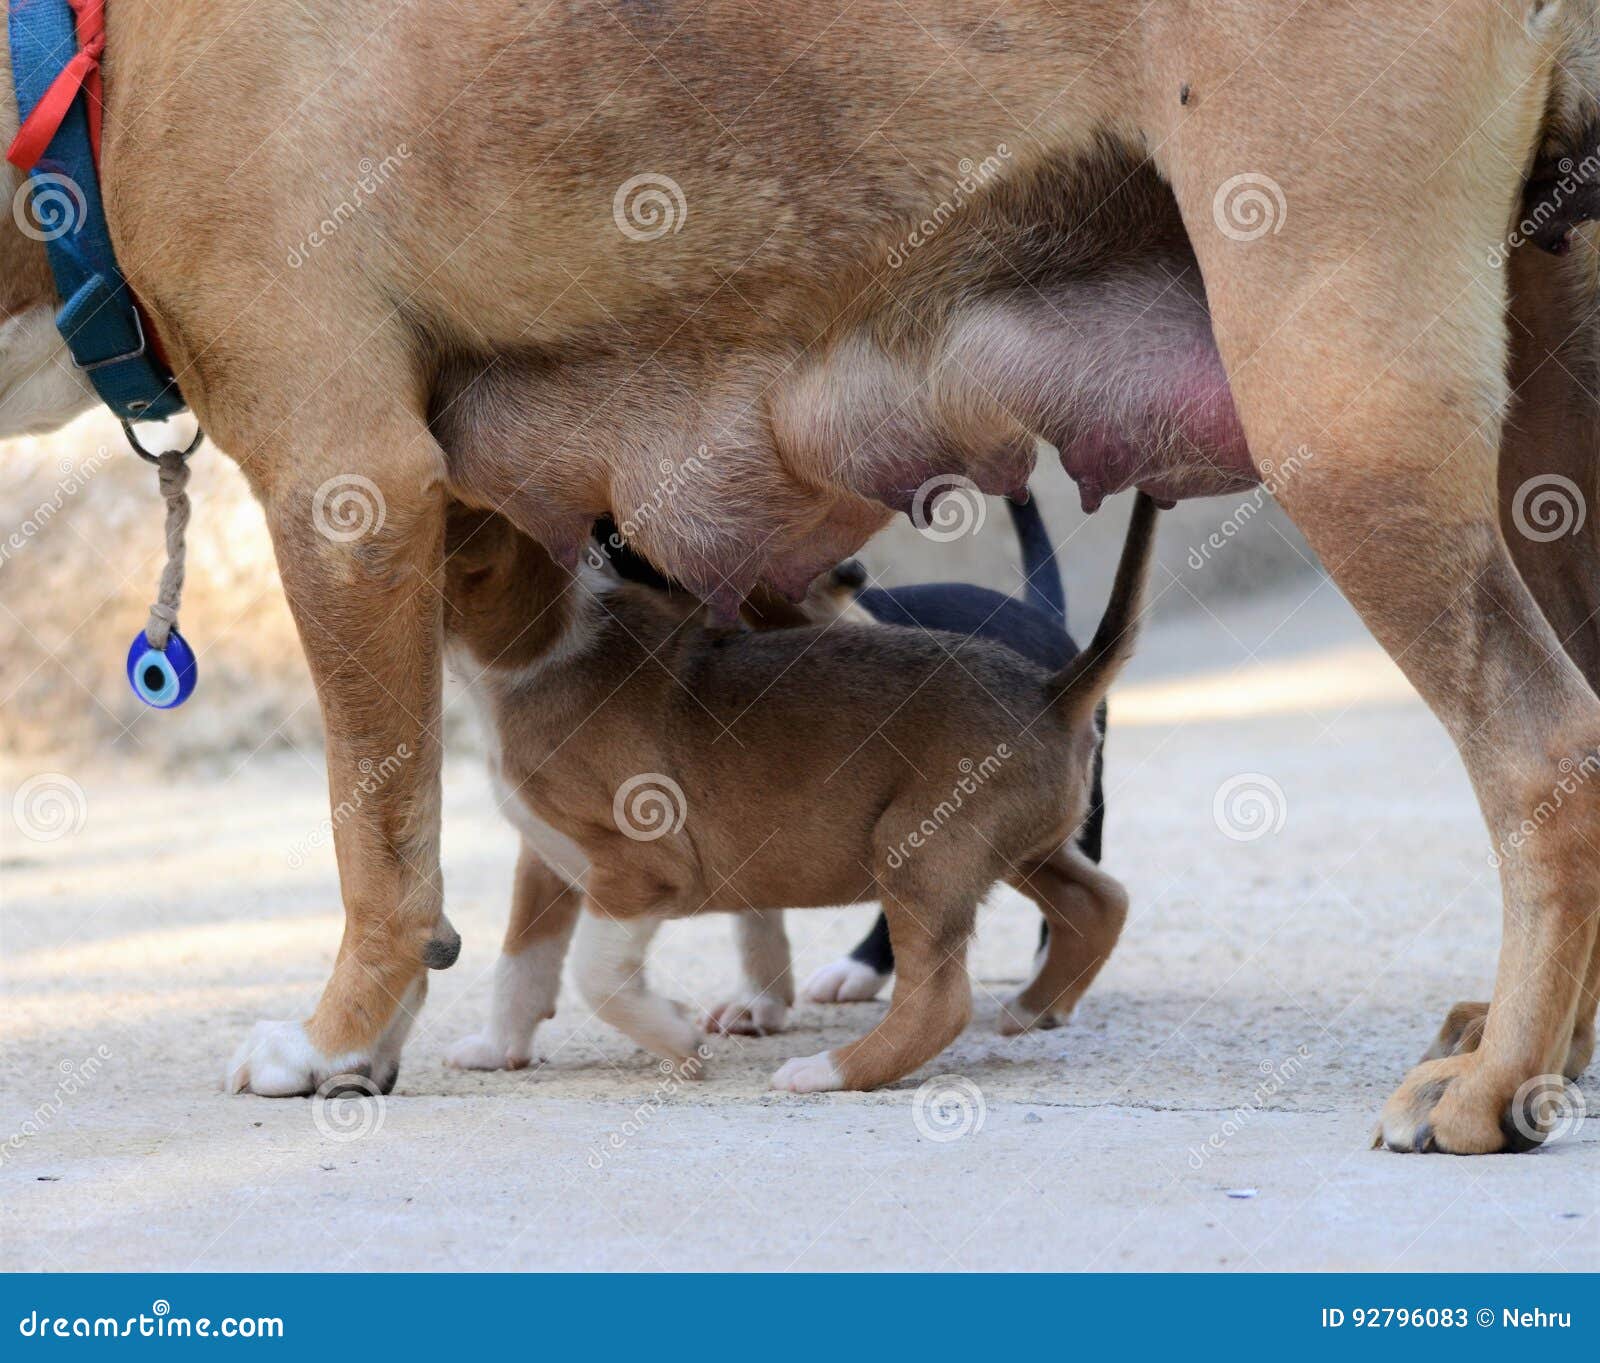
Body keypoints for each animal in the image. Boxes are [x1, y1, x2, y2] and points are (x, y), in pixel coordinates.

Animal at [444, 495, 1158, 1094]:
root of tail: (1054, 692)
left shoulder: (640, 869)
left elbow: (594, 976)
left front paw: (676, 1041)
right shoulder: (544, 861)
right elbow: (521, 962)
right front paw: (497, 1048)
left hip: (916, 848)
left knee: (941, 1001)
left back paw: (829, 1071)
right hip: (1014, 849)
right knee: (1100, 901)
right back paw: (1033, 1008)